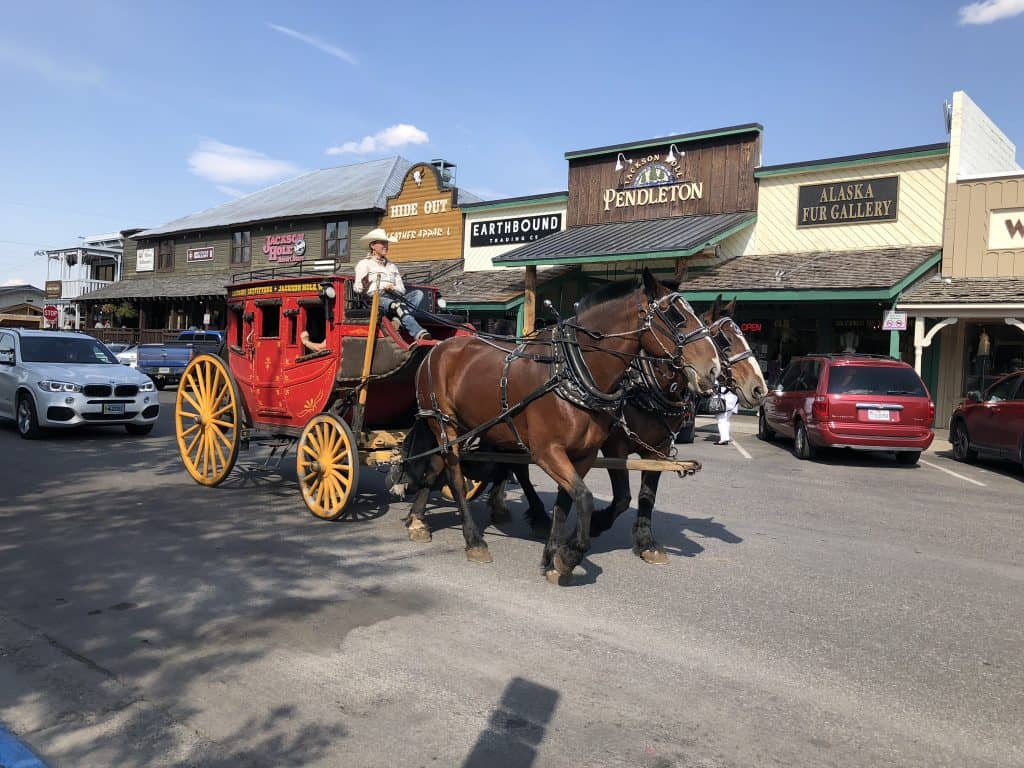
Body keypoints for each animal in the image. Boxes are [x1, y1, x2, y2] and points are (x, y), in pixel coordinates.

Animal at [403, 270, 716, 581]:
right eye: (676, 316)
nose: (713, 369)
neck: (571, 372)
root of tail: (437, 349)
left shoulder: (585, 454)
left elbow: (567, 500)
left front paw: (553, 555)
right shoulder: (549, 451)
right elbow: (585, 498)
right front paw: (570, 555)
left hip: (464, 429)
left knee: (436, 466)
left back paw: (417, 519)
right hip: (443, 422)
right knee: (456, 477)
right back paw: (474, 540)